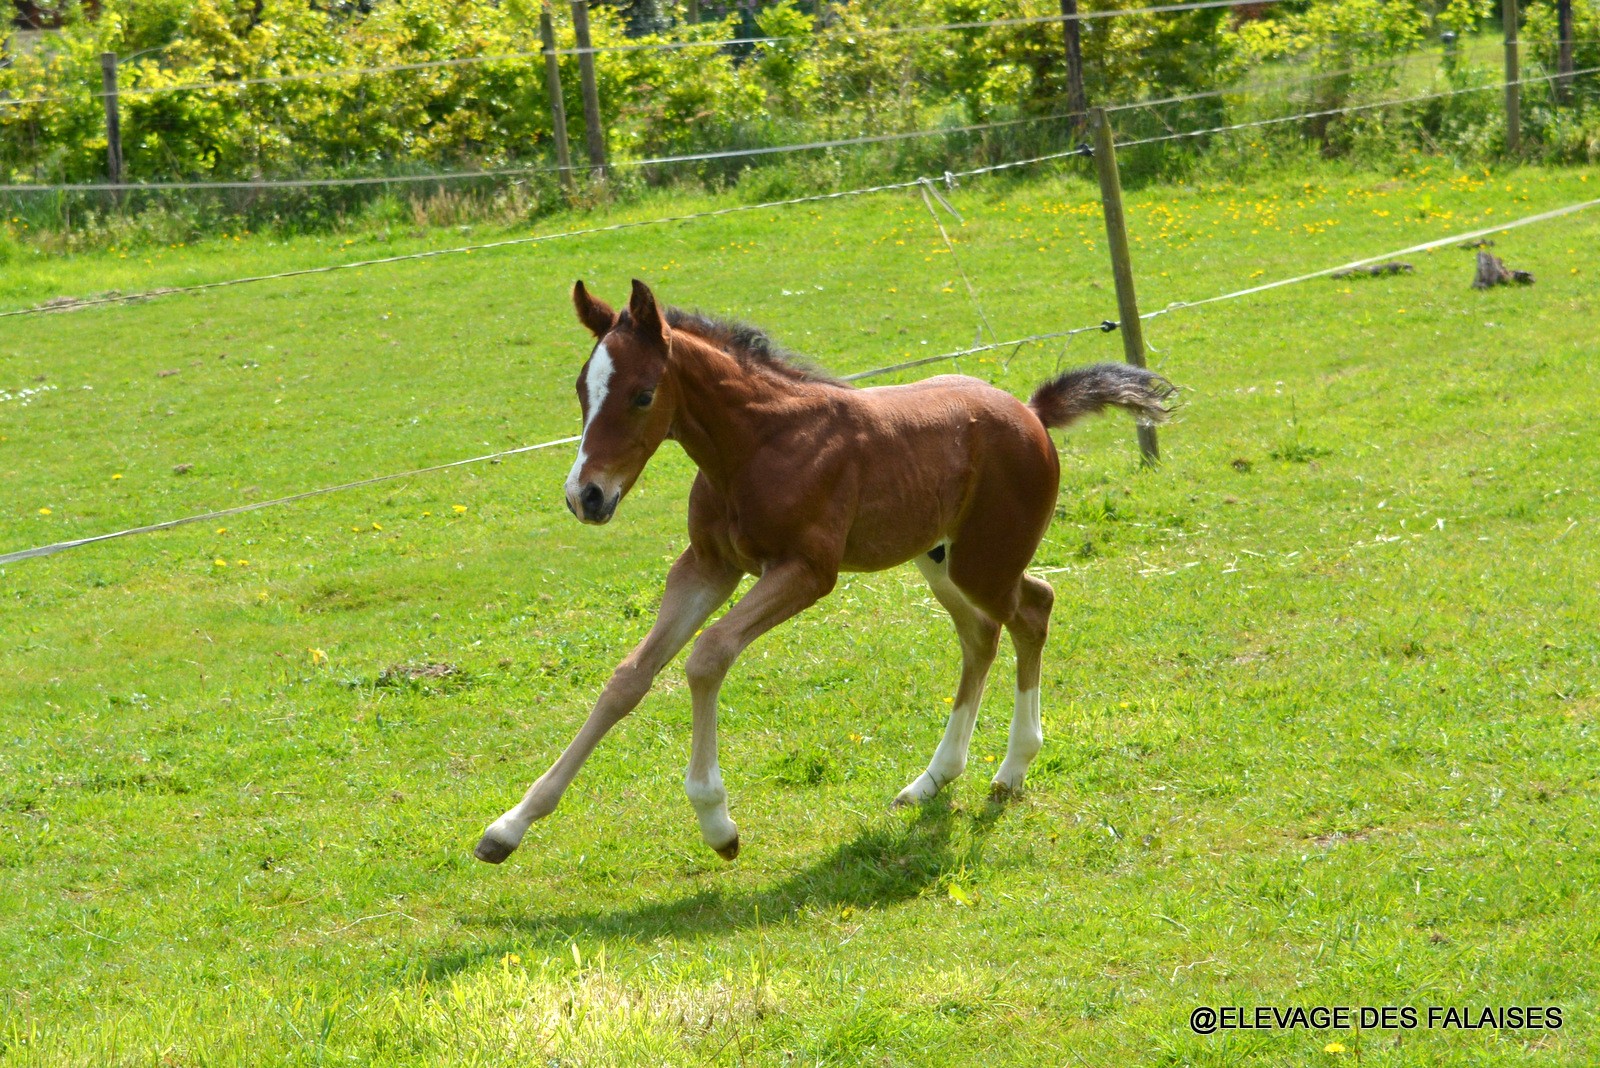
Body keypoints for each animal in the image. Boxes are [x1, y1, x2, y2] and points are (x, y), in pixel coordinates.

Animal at [467, 279, 1171, 863]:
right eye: (581, 391)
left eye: (642, 395)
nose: (585, 497)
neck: (755, 446)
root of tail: (1032, 413)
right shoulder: (706, 567)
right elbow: (628, 678)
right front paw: (508, 827)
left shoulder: (806, 570)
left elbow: (708, 655)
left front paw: (717, 823)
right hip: (940, 561)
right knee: (982, 635)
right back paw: (931, 781)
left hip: (985, 561)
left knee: (1035, 608)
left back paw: (1011, 772)